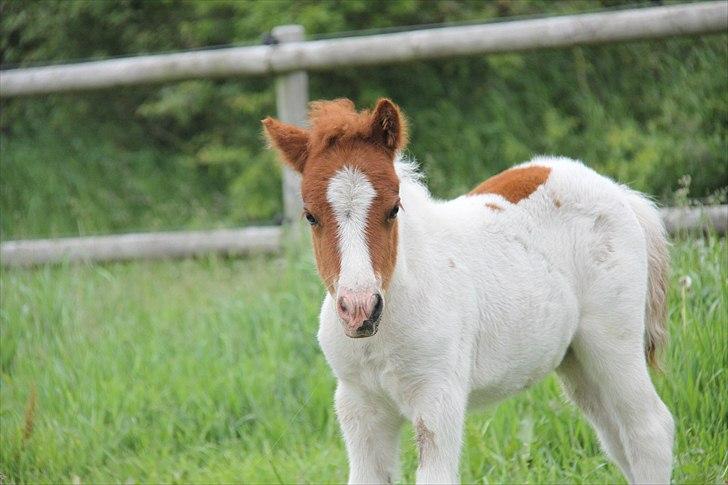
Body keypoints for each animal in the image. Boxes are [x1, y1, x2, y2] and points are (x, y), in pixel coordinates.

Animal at [264, 99, 672, 484]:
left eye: (393, 208)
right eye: (310, 216)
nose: (360, 309)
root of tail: (617, 191)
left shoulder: (438, 397)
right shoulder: (359, 406)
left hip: (613, 341)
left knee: (650, 430)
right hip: (577, 361)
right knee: (617, 439)